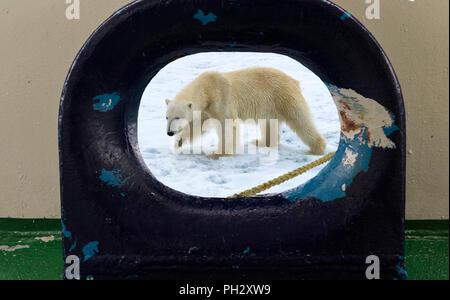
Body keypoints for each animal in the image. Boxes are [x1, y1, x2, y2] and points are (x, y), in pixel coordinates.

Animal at [165, 67, 326, 158]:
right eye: (167, 117)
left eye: (177, 117)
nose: (169, 133)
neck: (207, 87)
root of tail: (293, 81)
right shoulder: (206, 108)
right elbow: (199, 124)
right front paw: (179, 142)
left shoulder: (220, 99)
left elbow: (227, 125)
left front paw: (218, 153)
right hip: (269, 105)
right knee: (268, 123)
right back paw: (261, 142)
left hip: (283, 96)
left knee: (300, 120)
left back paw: (316, 149)